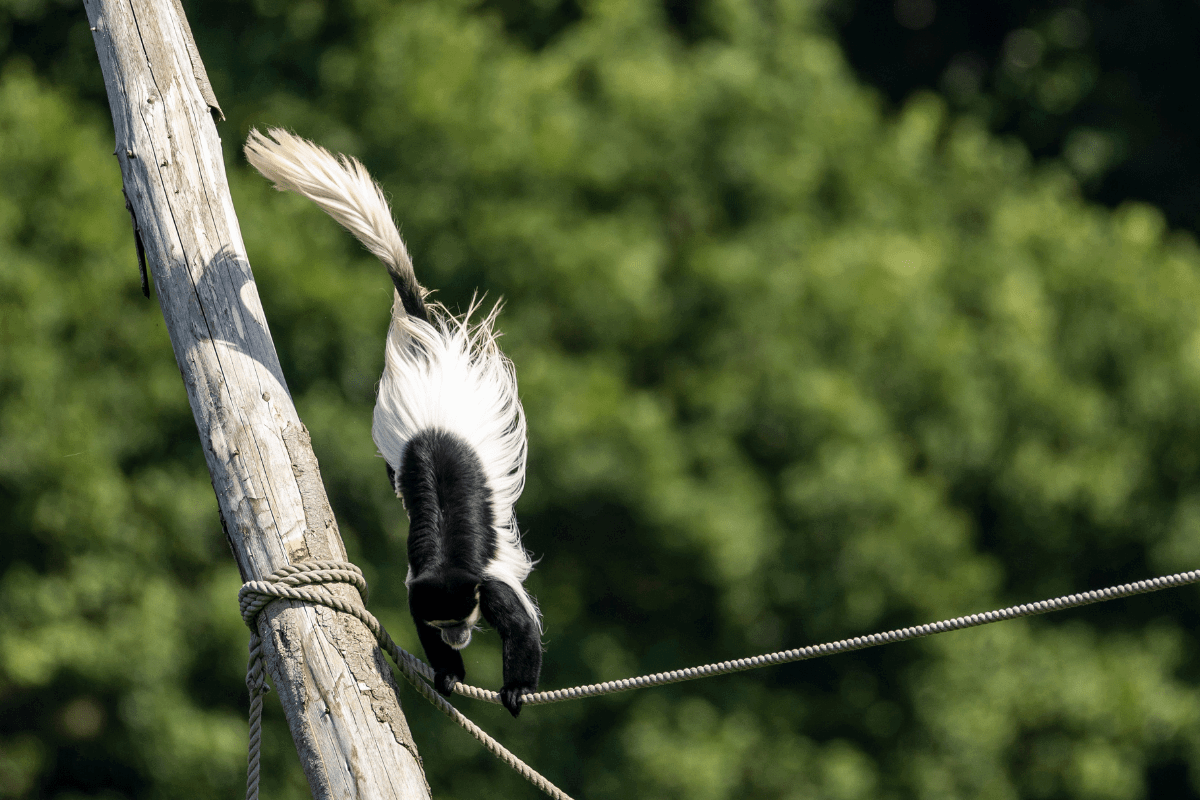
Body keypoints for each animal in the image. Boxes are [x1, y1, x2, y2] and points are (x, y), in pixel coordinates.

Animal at [245, 129, 542, 717]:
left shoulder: (486, 586)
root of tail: (430, 360)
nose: (456, 637)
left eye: (462, 618)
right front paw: (447, 673)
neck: (449, 558)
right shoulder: (421, 591)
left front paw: (517, 687)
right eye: (445, 624)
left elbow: (519, 624)